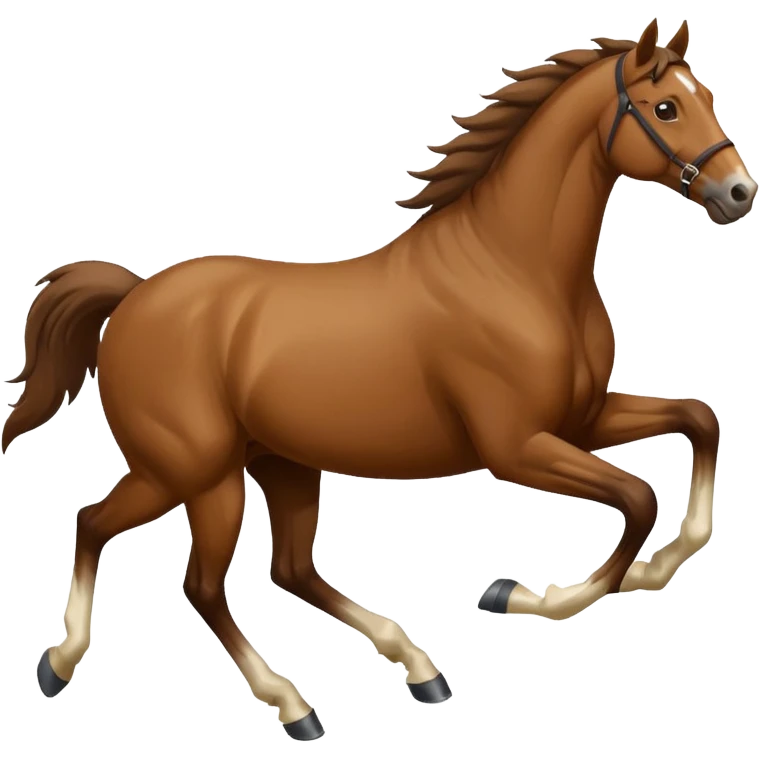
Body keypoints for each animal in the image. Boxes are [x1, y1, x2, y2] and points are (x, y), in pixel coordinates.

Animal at [8, 18, 752, 740]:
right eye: (666, 106)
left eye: (709, 98)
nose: (740, 193)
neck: (516, 269)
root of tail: (134, 296)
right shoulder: (515, 448)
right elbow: (637, 498)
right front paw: (522, 594)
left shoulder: (580, 420)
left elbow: (697, 421)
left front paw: (644, 570)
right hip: (192, 471)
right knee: (159, 560)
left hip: (278, 463)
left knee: (287, 568)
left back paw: (416, 669)